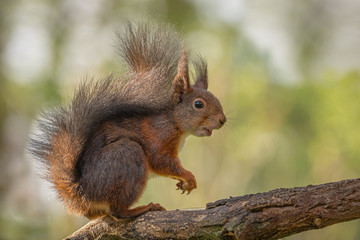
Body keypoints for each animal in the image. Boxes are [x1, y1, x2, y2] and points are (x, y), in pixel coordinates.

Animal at [28, 21, 225, 220]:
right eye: (198, 104)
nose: (222, 120)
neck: (174, 123)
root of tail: (82, 193)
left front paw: (183, 182)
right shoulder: (160, 137)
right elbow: (161, 161)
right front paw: (188, 177)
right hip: (128, 156)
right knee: (118, 211)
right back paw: (143, 208)